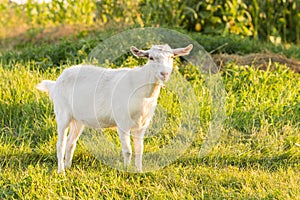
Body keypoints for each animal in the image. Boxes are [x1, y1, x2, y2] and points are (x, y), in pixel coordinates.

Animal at [37, 44, 192, 173]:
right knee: (60, 144)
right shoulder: (122, 122)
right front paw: (126, 171)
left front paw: (139, 171)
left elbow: (139, 149)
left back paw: (68, 167)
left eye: (172, 57)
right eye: (151, 57)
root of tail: (56, 82)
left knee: (71, 142)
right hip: (62, 113)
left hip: (78, 119)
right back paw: (61, 171)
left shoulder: (141, 125)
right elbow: (128, 150)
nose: (164, 74)